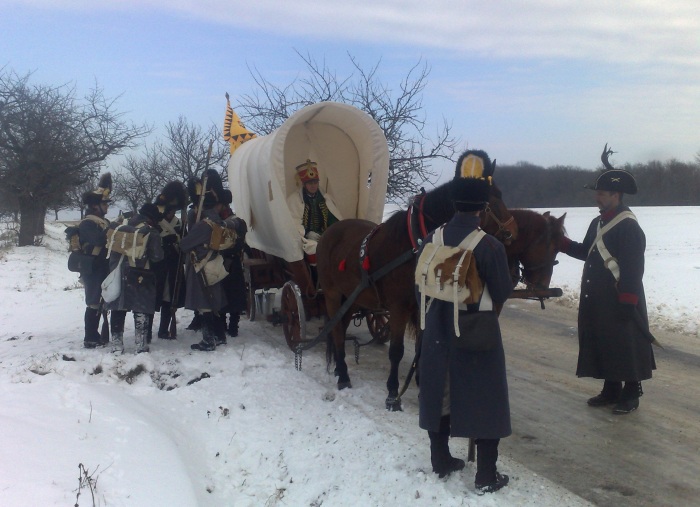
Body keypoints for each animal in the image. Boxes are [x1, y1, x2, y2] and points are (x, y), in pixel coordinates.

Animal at [314, 181, 516, 410]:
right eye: (492, 201)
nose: (511, 232)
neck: (416, 246)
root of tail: (328, 233)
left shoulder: (422, 306)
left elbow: (422, 348)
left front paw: (422, 387)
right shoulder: (399, 308)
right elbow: (396, 351)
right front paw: (393, 394)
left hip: (351, 298)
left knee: (340, 327)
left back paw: (339, 368)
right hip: (332, 294)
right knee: (337, 332)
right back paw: (343, 377)